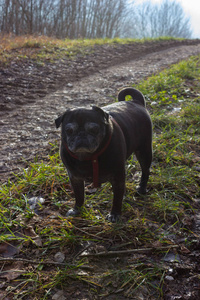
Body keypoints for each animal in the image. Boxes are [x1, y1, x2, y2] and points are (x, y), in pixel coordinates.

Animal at [55, 86, 152, 220]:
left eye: (94, 129)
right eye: (69, 130)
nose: (81, 136)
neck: (87, 157)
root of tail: (136, 102)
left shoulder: (118, 178)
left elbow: (117, 198)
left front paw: (114, 214)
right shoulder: (75, 178)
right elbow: (79, 196)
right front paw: (77, 209)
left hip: (144, 152)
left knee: (145, 171)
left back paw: (142, 188)